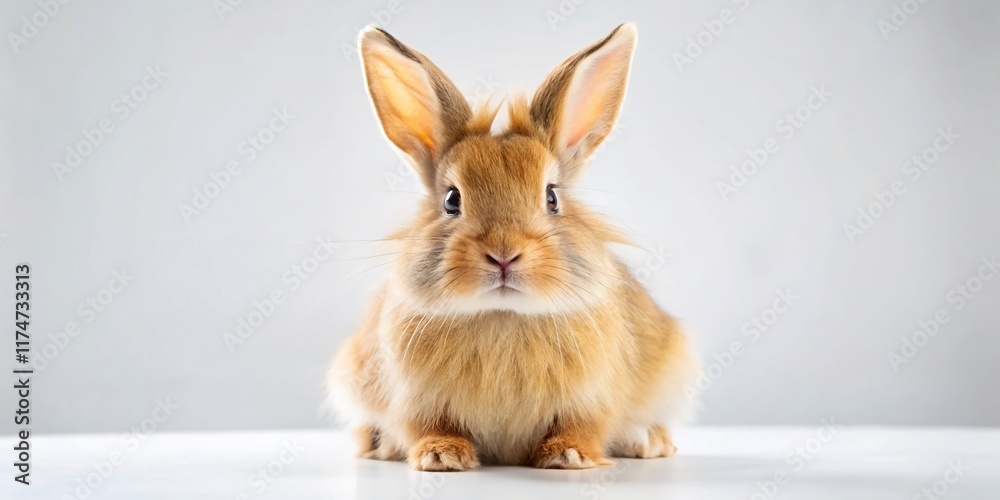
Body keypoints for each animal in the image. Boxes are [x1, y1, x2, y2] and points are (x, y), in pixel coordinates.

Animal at [326, 23, 697, 471]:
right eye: (451, 200)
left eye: (552, 198)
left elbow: (585, 426)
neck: (502, 316)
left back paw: (648, 441)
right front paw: (441, 455)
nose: (504, 254)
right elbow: (427, 427)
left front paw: (569, 456)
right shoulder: (413, 401)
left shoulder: (592, 401)